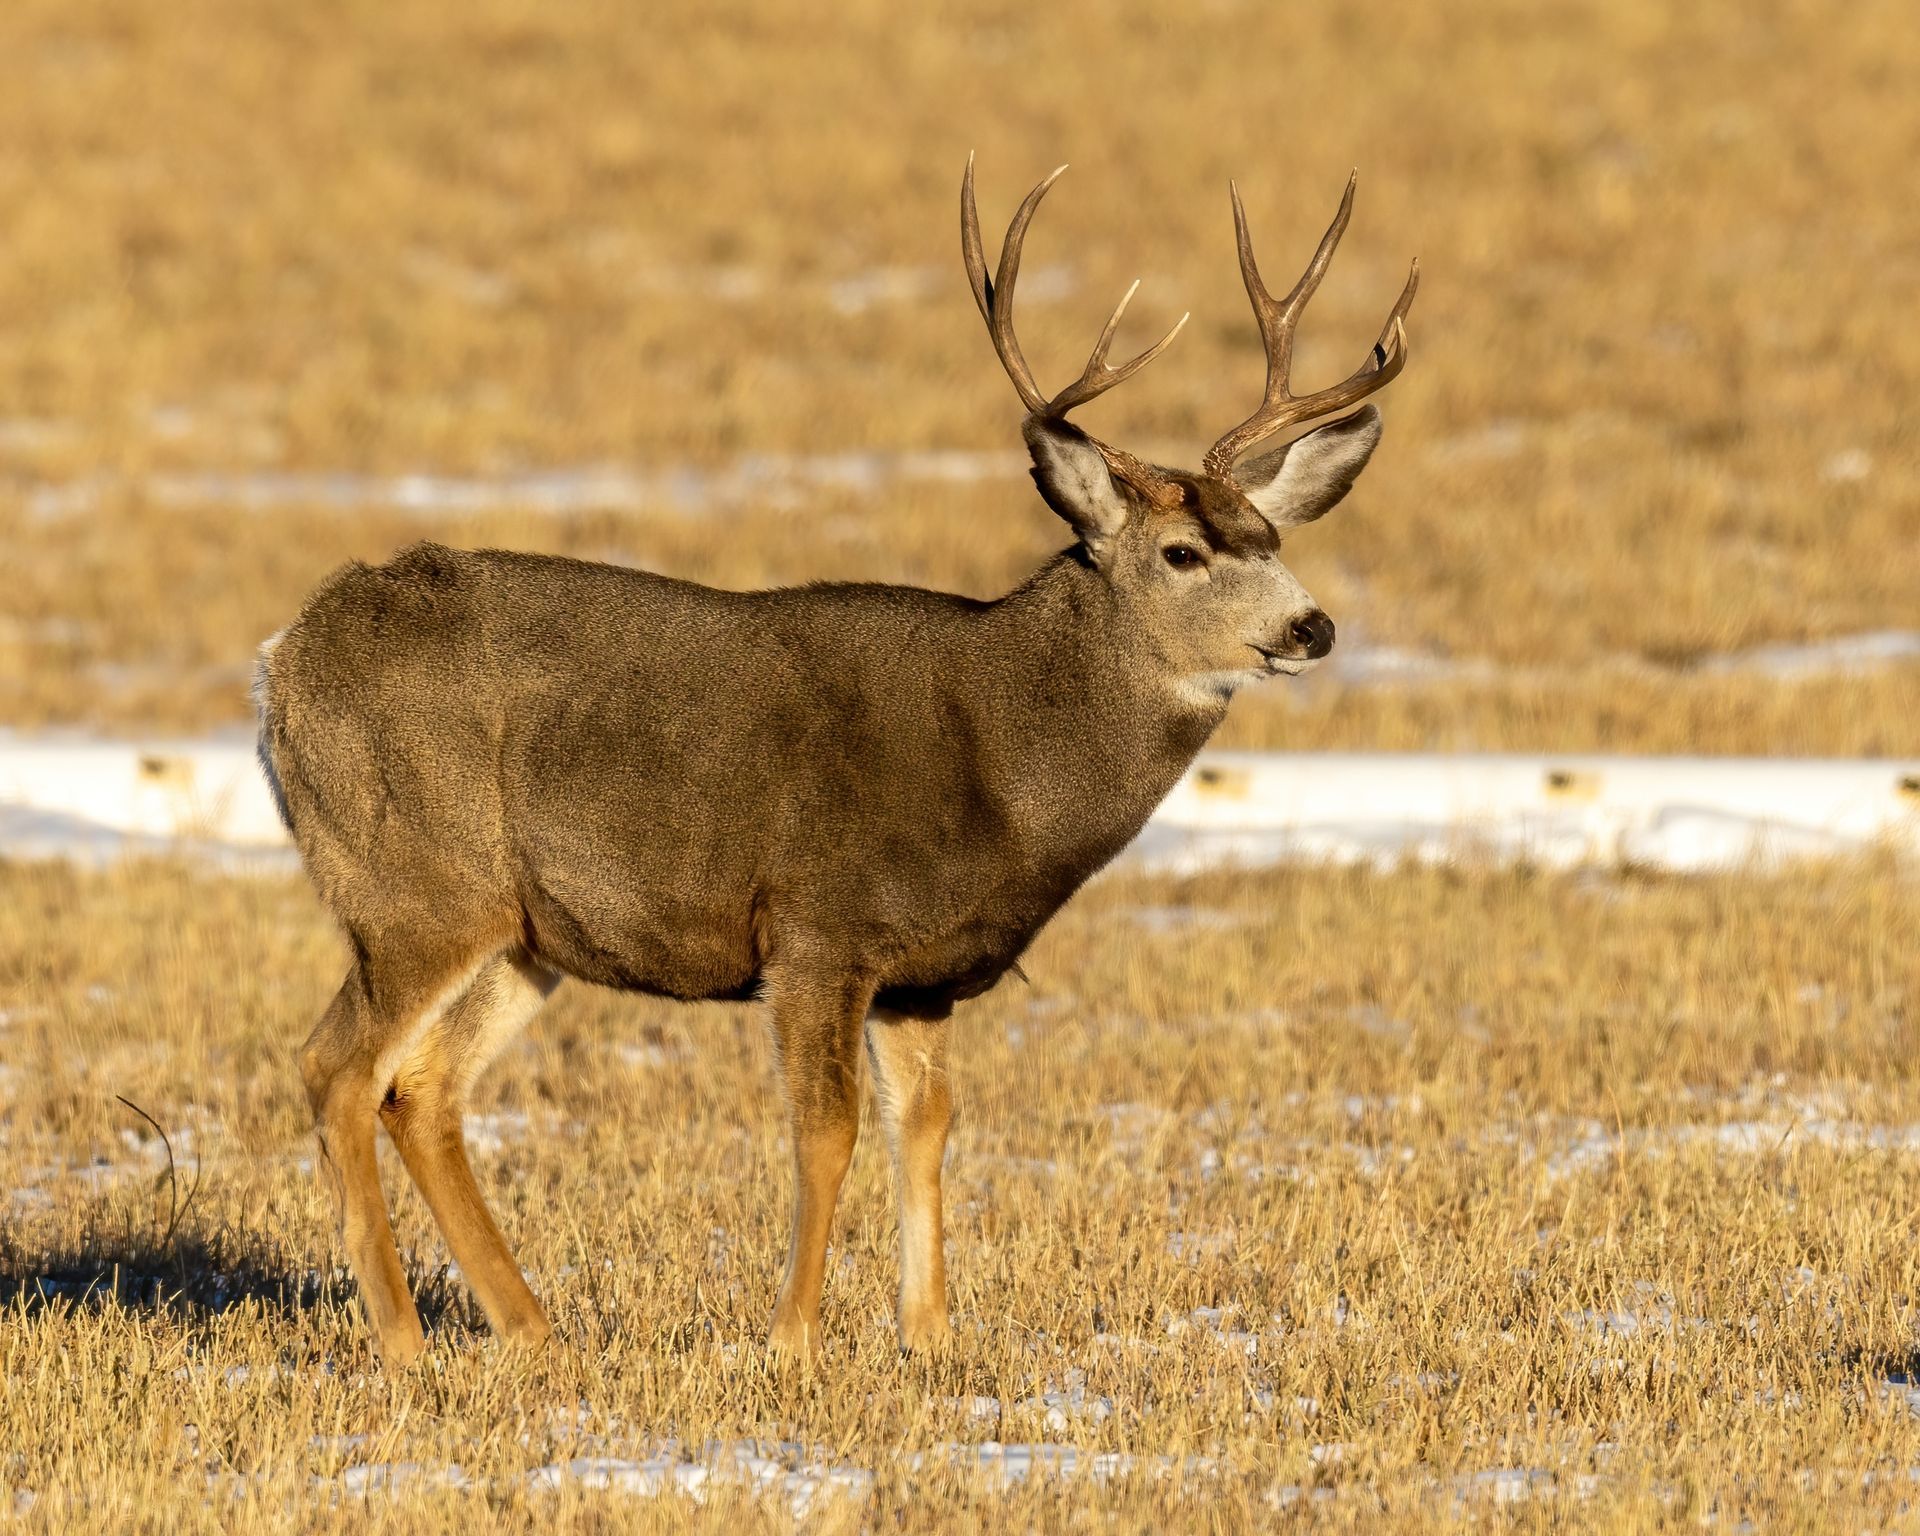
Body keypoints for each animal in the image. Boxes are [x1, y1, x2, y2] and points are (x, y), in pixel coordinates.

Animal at [253, 158, 1417, 1366]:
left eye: (1273, 541)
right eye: (1184, 552)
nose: (1314, 627)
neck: (1001, 763)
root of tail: (283, 662)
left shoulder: (926, 974)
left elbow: (929, 1129)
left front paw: (932, 1337)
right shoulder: (819, 925)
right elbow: (827, 1131)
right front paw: (794, 1341)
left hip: (525, 929)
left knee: (421, 1087)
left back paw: (533, 1330)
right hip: (414, 882)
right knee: (337, 1068)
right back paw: (403, 1341)